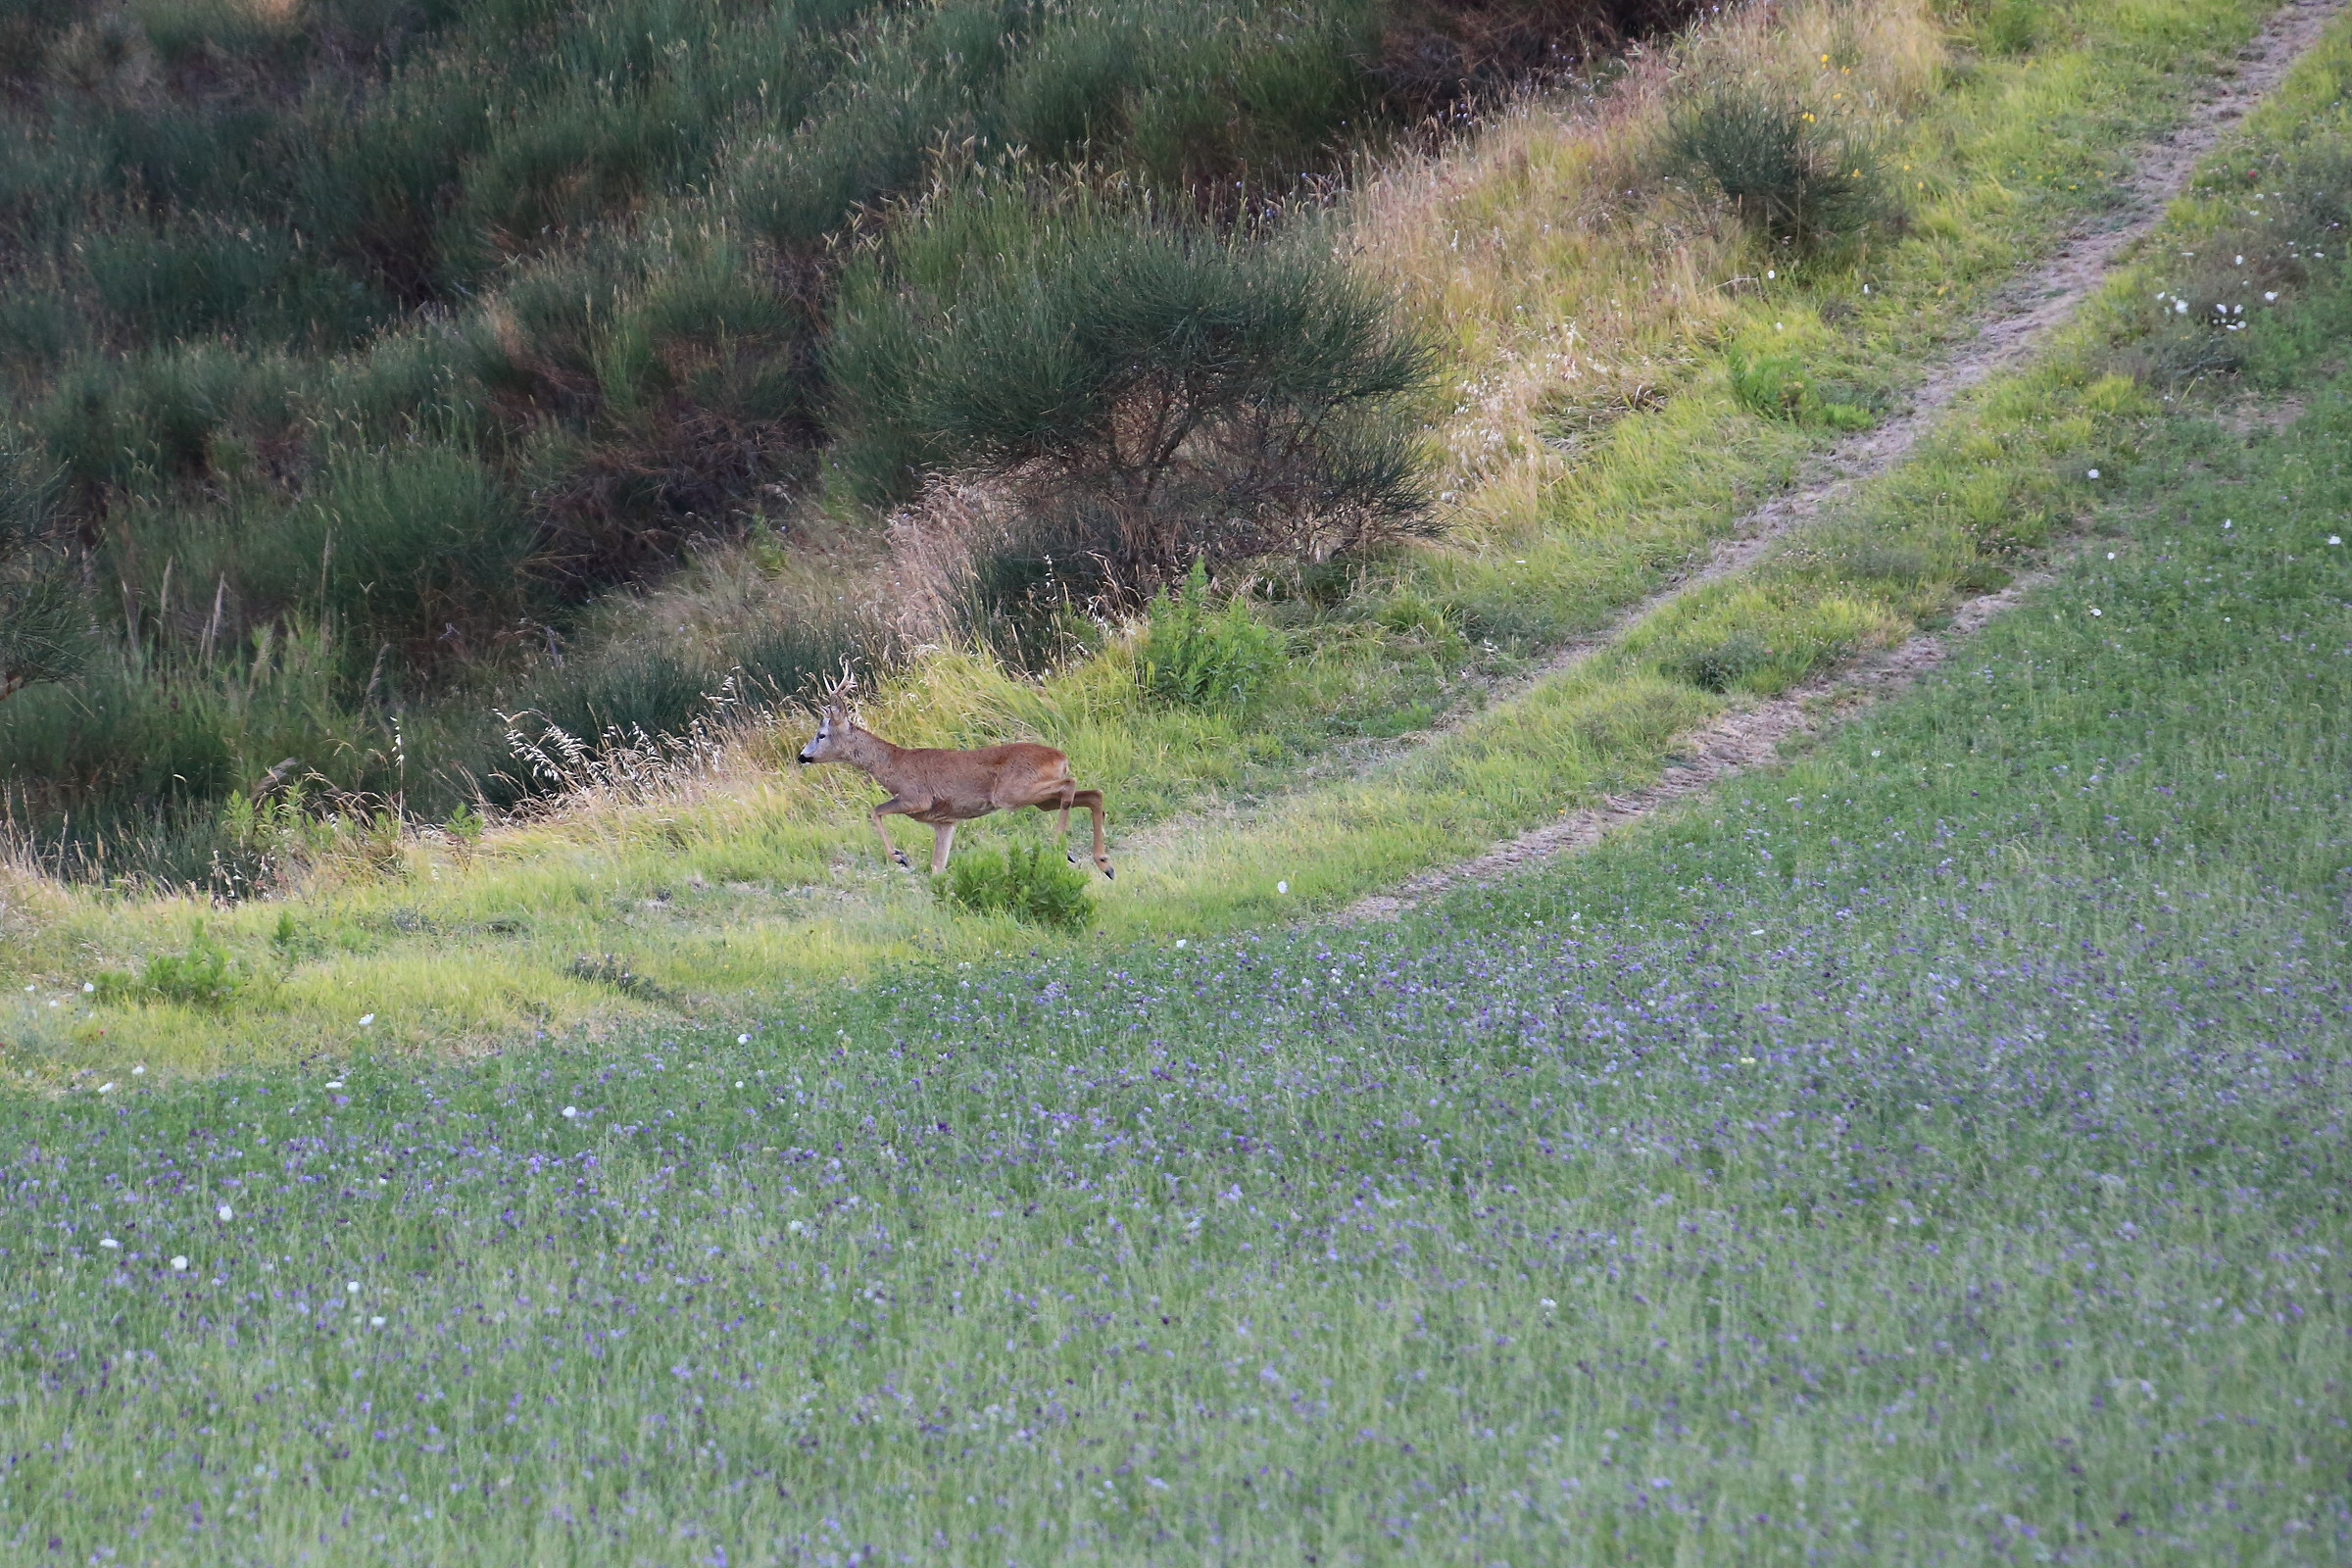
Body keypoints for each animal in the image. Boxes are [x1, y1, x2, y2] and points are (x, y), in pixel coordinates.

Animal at [796, 704, 1113, 879]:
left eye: (821, 735)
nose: (802, 756)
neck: (893, 765)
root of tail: (1060, 756)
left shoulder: (915, 798)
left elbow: (875, 810)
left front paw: (899, 857)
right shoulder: (945, 822)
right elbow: (938, 867)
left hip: (1013, 793)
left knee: (1072, 785)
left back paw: (1062, 848)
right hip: (1038, 799)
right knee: (1092, 794)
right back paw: (1104, 864)